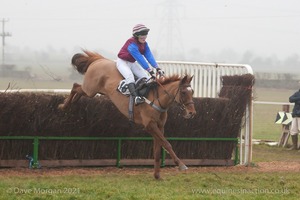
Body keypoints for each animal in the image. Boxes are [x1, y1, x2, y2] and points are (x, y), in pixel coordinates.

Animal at [58, 50, 196, 180]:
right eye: (183, 92)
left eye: (192, 92)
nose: (192, 113)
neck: (157, 100)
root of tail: (99, 60)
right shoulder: (150, 125)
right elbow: (167, 144)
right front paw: (181, 164)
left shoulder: (159, 126)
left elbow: (158, 149)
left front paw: (157, 175)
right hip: (91, 89)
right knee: (75, 86)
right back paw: (63, 106)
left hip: (91, 91)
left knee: (78, 90)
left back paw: (71, 102)